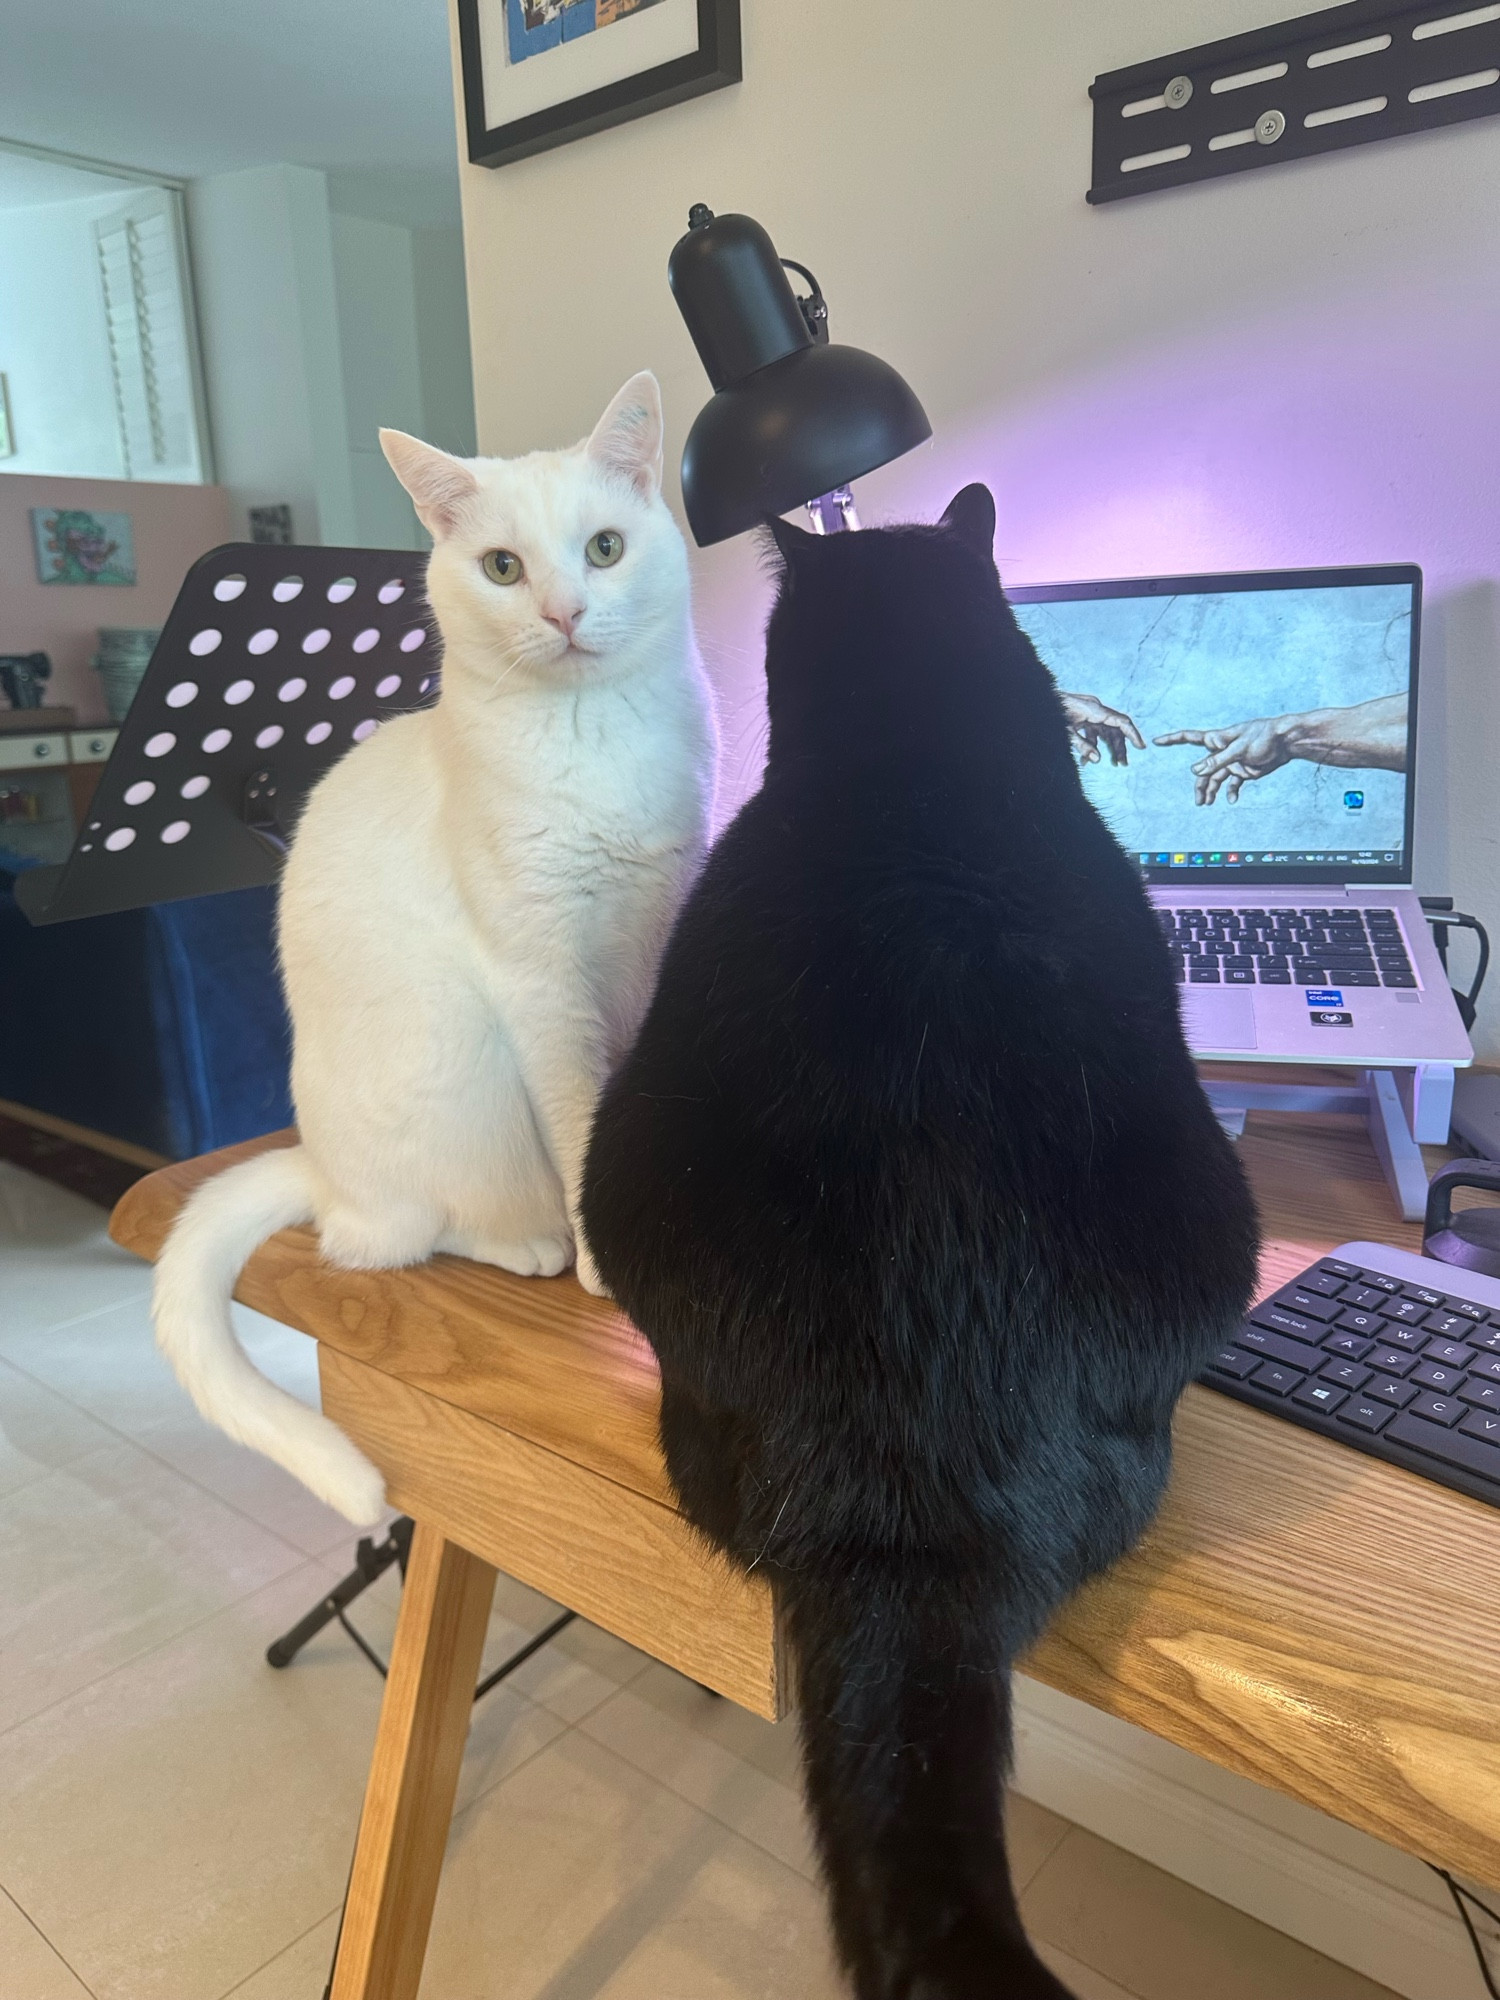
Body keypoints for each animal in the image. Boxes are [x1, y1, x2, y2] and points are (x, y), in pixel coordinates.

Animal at [156, 376, 720, 1520]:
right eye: (503, 567)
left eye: (603, 548)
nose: (564, 611)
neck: (597, 737)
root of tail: (320, 1168)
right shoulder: (542, 980)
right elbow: (582, 1123)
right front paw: (604, 1261)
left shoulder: (654, 935)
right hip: (458, 1073)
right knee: (393, 1237)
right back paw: (532, 1241)